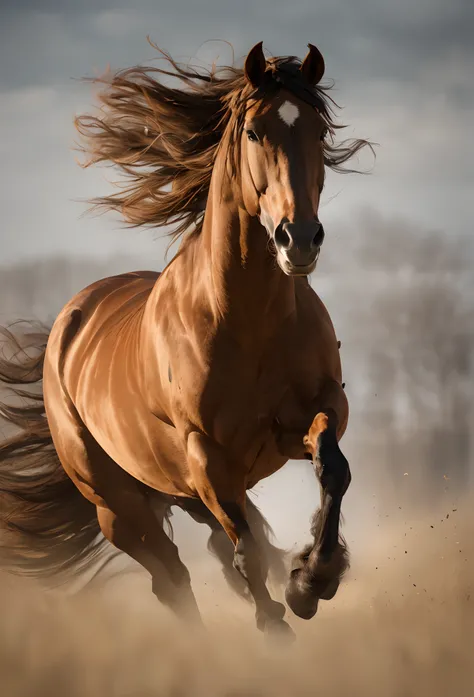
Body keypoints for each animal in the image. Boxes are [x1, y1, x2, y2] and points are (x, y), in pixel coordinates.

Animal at [0, 39, 370, 636]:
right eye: (254, 132)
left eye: (319, 132)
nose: (299, 239)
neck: (247, 322)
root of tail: (66, 328)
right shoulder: (207, 454)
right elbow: (246, 551)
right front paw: (281, 614)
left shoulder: (316, 411)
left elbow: (332, 469)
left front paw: (313, 580)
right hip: (118, 505)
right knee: (172, 575)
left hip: (179, 491)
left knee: (210, 550)